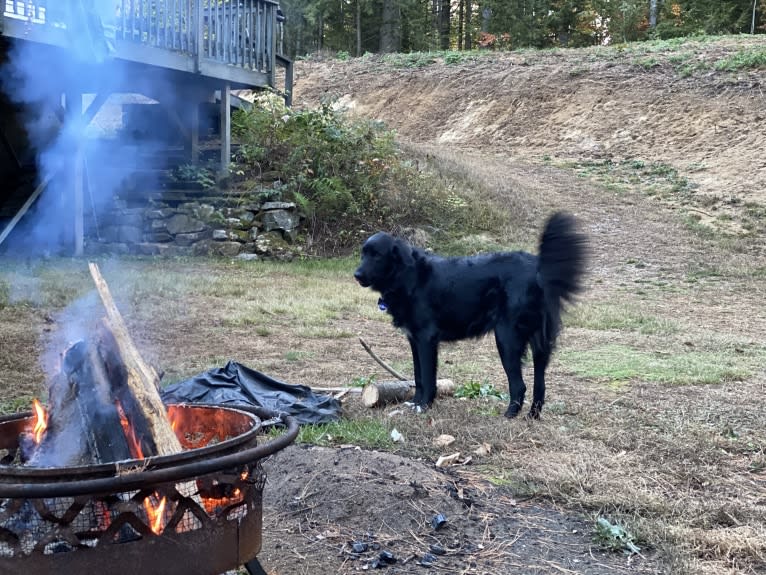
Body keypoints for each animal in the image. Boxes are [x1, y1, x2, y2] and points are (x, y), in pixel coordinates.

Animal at [354, 212, 588, 418]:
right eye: (363, 254)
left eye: (377, 255)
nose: (356, 275)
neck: (407, 276)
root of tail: (538, 270)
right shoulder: (414, 339)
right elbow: (418, 377)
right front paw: (416, 403)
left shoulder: (426, 339)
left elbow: (428, 378)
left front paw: (425, 405)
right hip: (540, 344)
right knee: (540, 385)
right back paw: (532, 416)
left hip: (507, 338)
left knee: (519, 385)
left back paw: (510, 414)